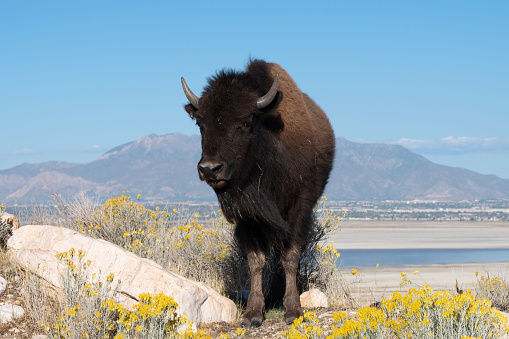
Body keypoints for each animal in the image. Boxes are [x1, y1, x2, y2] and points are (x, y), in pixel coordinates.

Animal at [181, 59, 336, 326]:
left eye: (245, 122)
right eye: (201, 124)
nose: (210, 168)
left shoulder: (299, 208)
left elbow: (291, 256)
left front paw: (293, 310)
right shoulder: (248, 217)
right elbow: (256, 260)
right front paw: (253, 313)